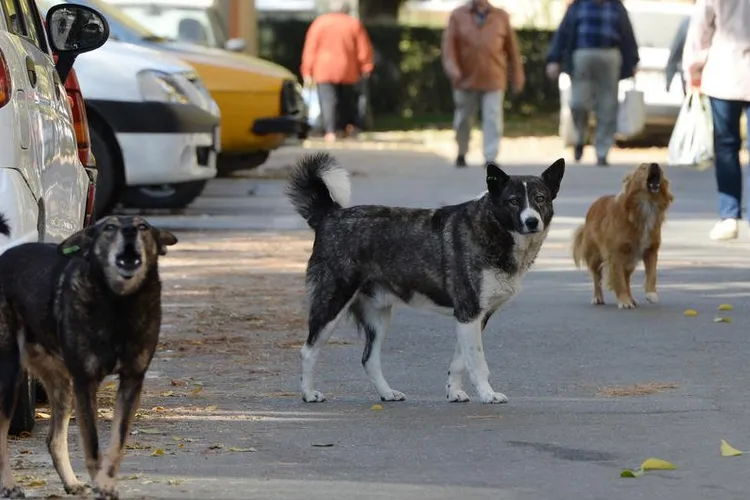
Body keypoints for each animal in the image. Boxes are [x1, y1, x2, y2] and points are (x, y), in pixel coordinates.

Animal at [0, 216, 176, 500]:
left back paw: (71, 482)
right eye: (109, 227)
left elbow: (117, 444)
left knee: (54, 439)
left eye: (143, 227)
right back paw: (9, 485)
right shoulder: (86, 383)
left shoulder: (131, 381)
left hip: (61, 386)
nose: (129, 231)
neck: (118, 305)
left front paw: (107, 483)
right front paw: (100, 485)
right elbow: (93, 446)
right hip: (10, 376)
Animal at [286, 154, 564, 404]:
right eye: (513, 201)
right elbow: (477, 362)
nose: (532, 221)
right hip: (332, 304)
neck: (492, 226)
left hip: (378, 317)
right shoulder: (469, 313)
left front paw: (453, 391)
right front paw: (487, 394)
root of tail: (331, 214)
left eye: (540, 199)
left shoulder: (472, 318)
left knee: (369, 359)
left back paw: (386, 393)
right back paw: (308, 394)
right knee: (308, 351)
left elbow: (460, 361)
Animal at [576, 162, 676, 308]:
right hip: (595, 255)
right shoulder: (615, 254)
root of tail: (595, 203)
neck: (646, 206)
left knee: (627, 277)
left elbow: (652, 274)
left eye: (661, 169)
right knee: (597, 276)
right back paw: (598, 297)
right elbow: (619, 279)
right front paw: (624, 301)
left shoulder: (651, 251)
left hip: (630, 258)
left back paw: (631, 298)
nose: (655, 164)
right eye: (643, 167)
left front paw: (651, 294)